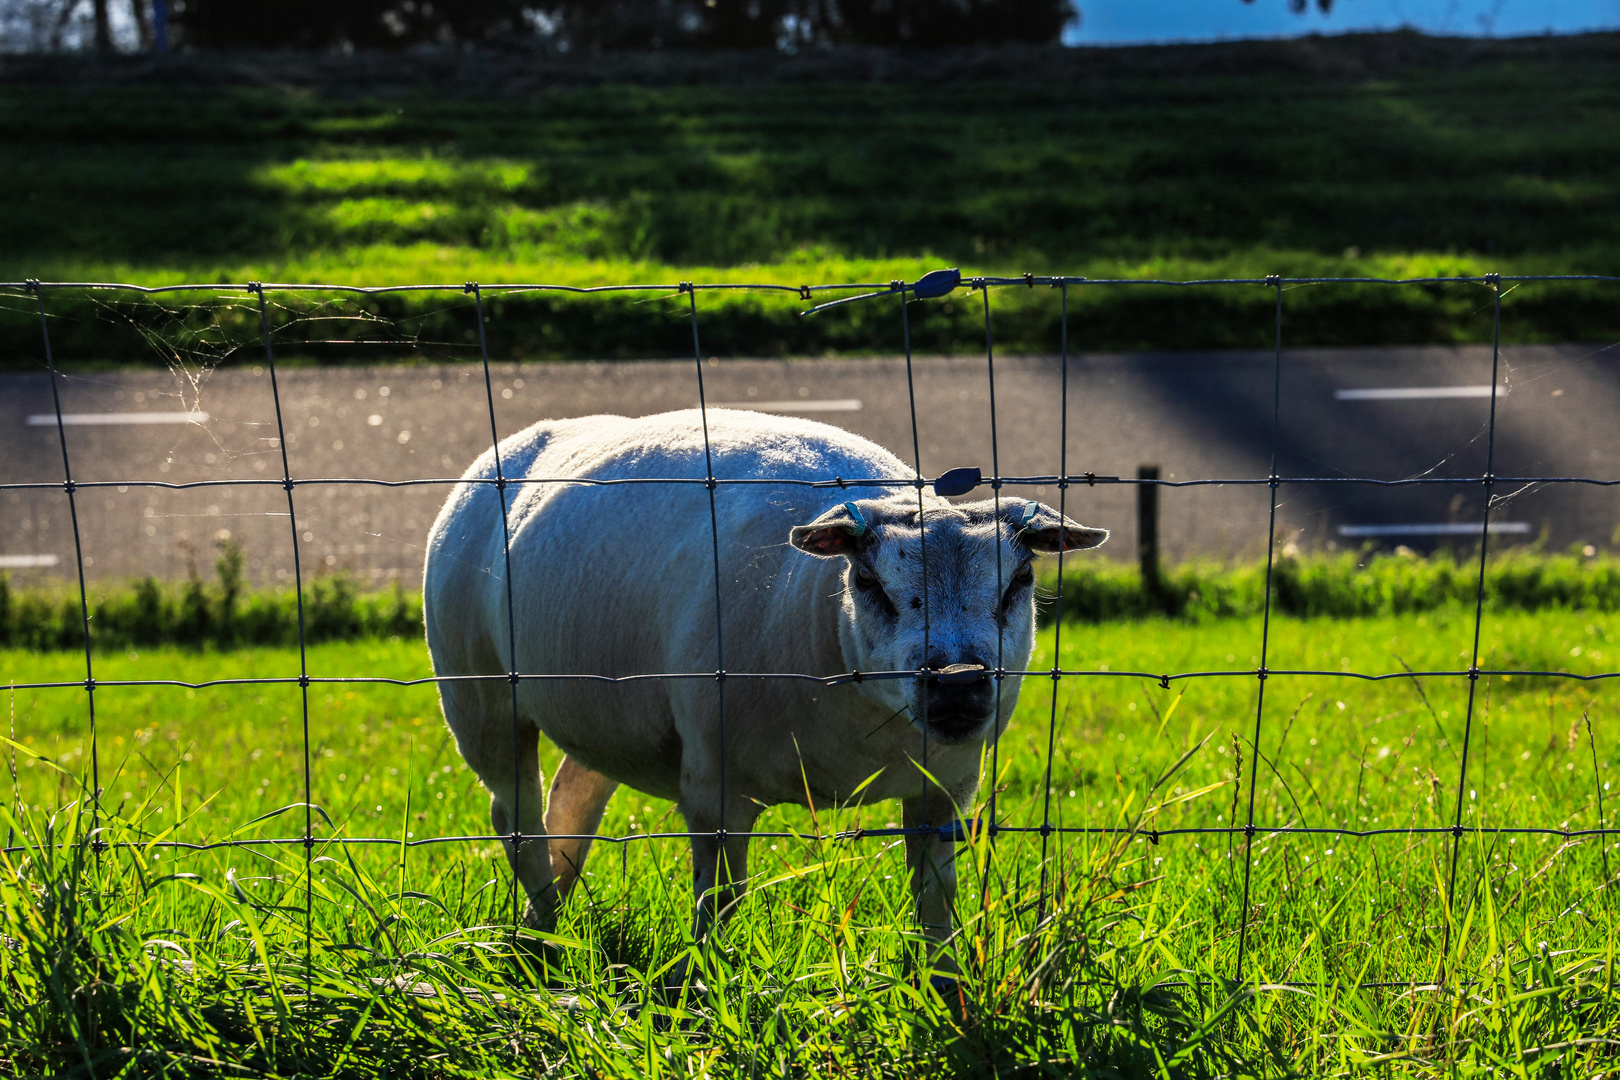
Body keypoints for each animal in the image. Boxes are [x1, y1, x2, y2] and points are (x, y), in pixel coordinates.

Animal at [424, 411, 1108, 952]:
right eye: (868, 581)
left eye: (1020, 582)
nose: (959, 685)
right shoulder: (713, 787)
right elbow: (719, 905)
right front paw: (707, 988)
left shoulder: (945, 792)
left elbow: (936, 908)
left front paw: (942, 992)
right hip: (479, 695)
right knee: (513, 813)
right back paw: (544, 923)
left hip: (603, 709)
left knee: (574, 794)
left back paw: (552, 921)